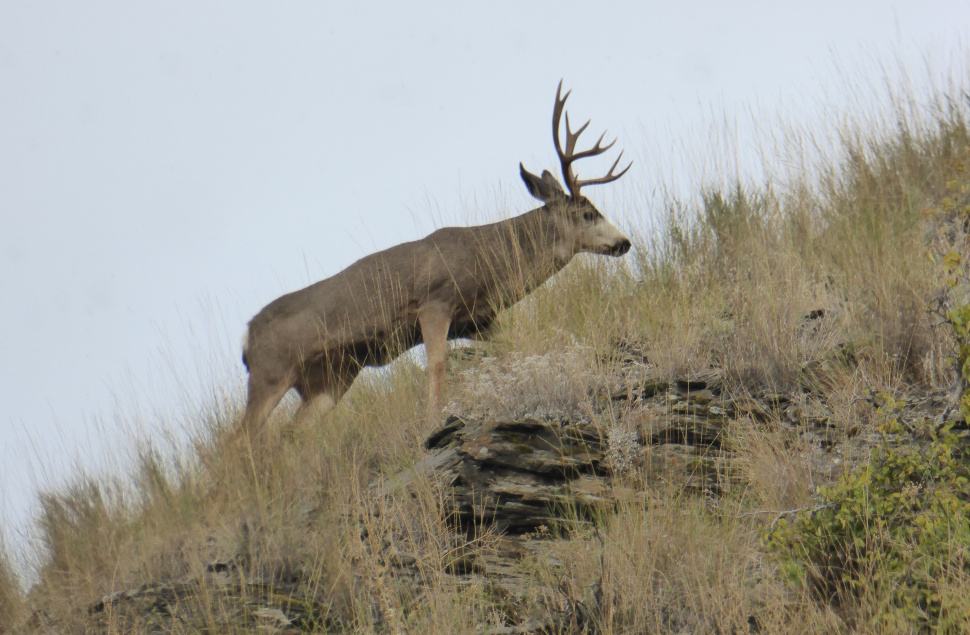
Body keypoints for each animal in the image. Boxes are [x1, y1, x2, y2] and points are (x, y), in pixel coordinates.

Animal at [237, 80, 632, 438]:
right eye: (588, 213)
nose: (624, 242)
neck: (488, 262)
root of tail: (246, 336)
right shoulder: (434, 301)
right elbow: (437, 365)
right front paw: (432, 421)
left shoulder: (478, 321)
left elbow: (509, 348)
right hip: (270, 371)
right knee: (239, 441)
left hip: (330, 379)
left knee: (291, 433)